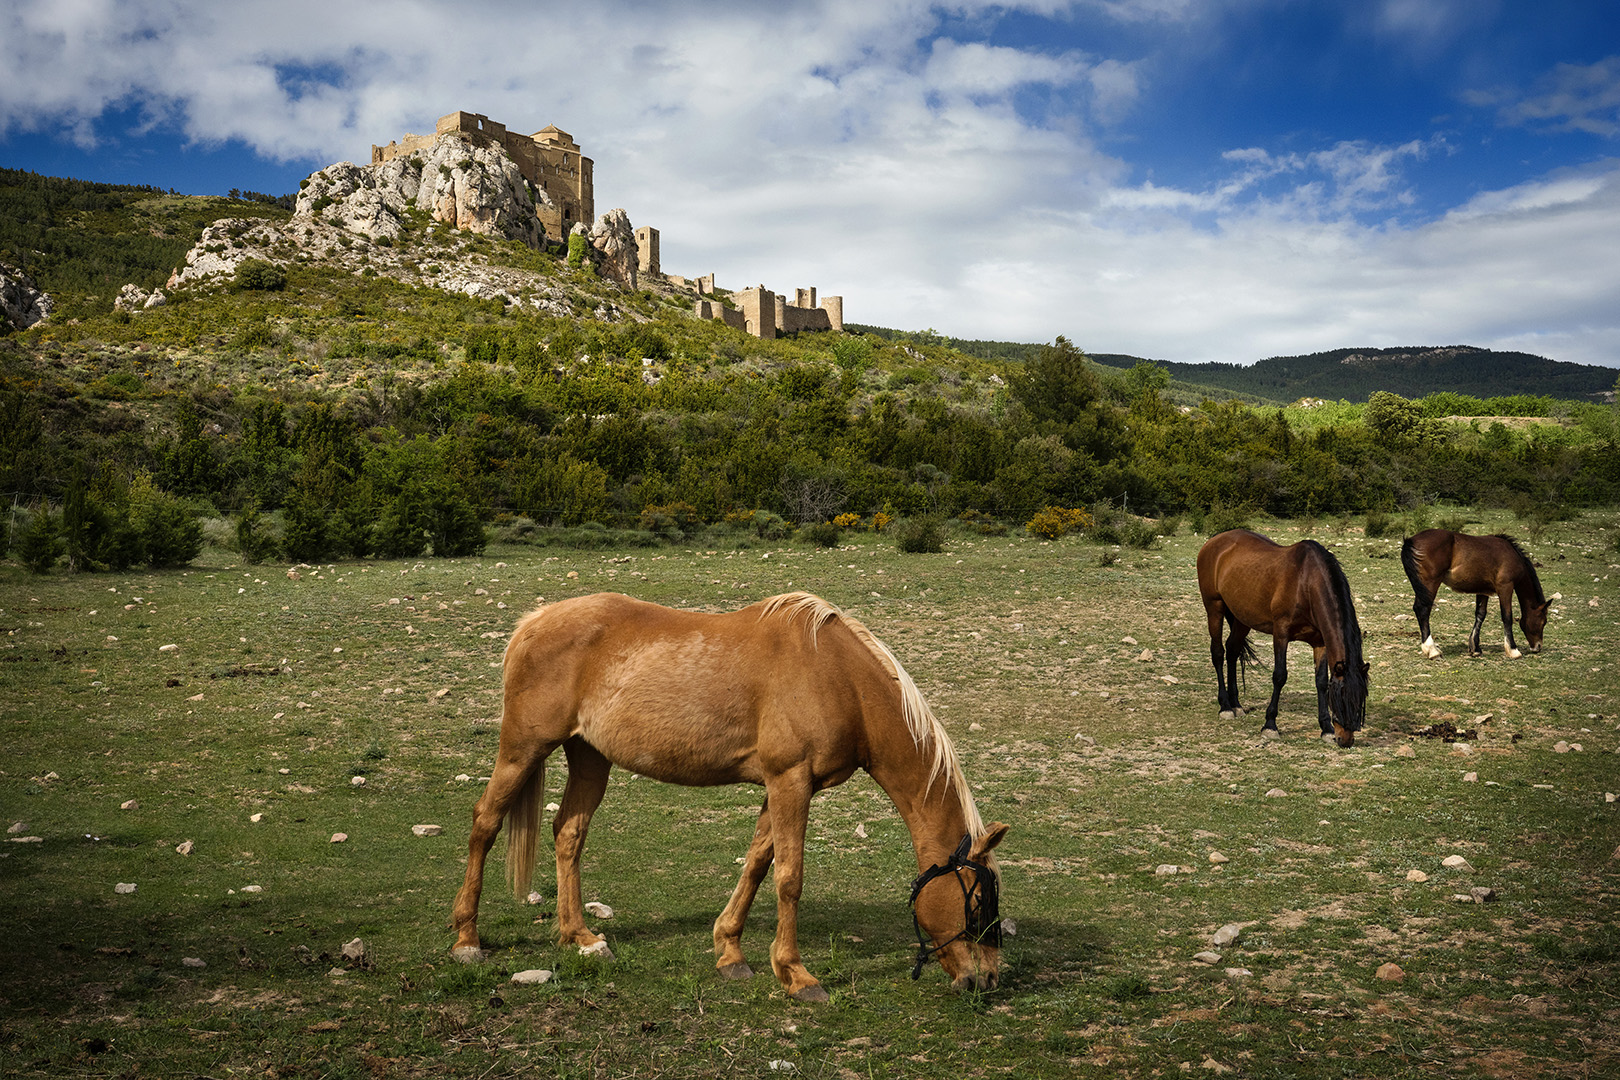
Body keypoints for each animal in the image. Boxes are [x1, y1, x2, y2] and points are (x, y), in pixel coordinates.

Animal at [449, 591, 1009, 1003]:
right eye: (977, 900)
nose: (987, 980)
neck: (839, 678)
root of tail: (535, 621)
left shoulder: (783, 786)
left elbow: (758, 864)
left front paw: (730, 952)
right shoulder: (790, 781)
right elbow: (788, 878)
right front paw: (796, 974)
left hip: (589, 756)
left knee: (568, 832)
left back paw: (581, 938)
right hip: (522, 748)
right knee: (485, 823)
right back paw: (467, 940)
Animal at [1196, 529, 1369, 747]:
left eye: (1361, 700)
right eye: (1342, 698)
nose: (1345, 740)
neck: (1305, 583)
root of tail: (1214, 541)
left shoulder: (1320, 643)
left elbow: (1320, 681)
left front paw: (1326, 728)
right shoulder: (1281, 634)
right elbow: (1279, 676)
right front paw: (1270, 725)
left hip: (1242, 618)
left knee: (1233, 650)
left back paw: (1236, 705)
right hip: (1214, 608)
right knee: (1218, 653)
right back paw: (1225, 707)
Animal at [1400, 529, 1549, 660]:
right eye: (1543, 621)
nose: (1538, 647)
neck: (1512, 555)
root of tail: (1410, 540)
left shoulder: (1483, 591)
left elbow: (1480, 615)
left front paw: (1475, 648)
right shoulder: (1505, 587)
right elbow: (1507, 616)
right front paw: (1513, 650)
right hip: (1430, 584)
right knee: (1423, 610)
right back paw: (1432, 650)